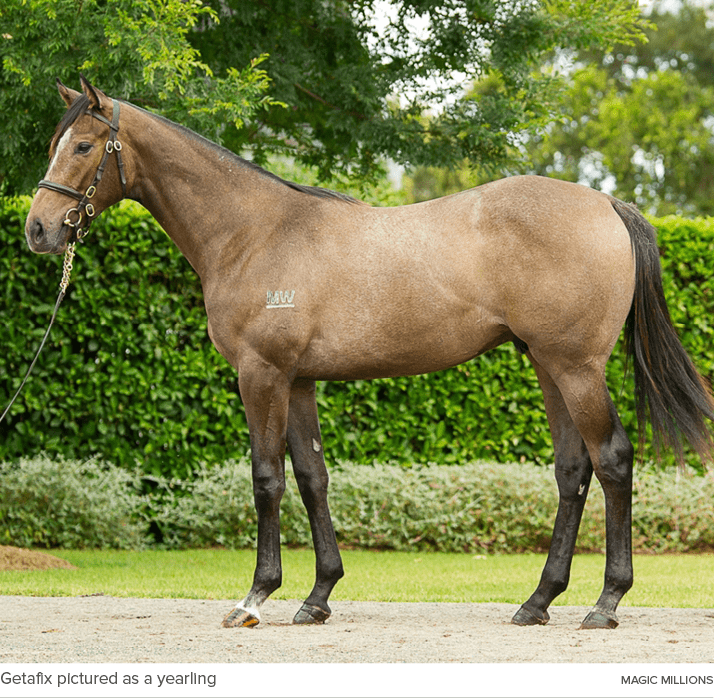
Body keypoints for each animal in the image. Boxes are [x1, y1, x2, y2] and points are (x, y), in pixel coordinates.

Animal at [25, 76, 708, 628]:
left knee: (612, 460)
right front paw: (317, 597)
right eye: (56, 143)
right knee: (573, 470)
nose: (38, 228)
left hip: (576, 367)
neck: (253, 232)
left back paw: (605, 603)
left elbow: (267, 479)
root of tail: (607, 203)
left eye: (83, 146)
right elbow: (312, 476)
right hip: (548, 364)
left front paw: (255, 597)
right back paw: (537, 602)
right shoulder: (298, 381)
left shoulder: (261, 375)